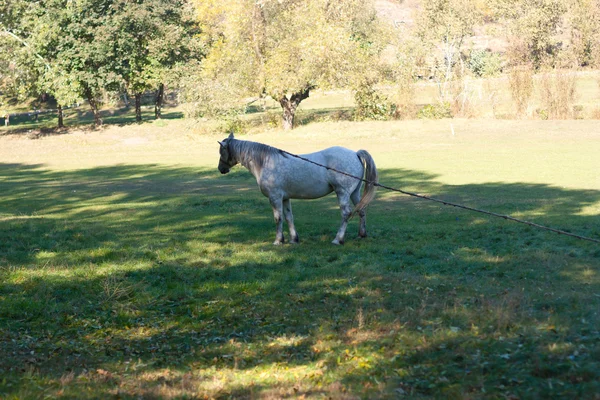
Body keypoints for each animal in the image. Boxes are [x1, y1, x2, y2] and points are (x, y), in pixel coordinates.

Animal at [216, 134, 378, 244]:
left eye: (221, 151)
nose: (221, 169)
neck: (265, 162)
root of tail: (355, 153)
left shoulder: (275, 198)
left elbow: (278, 218)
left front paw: (278, 240)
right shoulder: (285, 198)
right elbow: (289, 217)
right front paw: (294, 239)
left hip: (342, 193)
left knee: (346, 213)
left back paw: (338, 239)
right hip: (354, 193)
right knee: (361, 210)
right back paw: (361, 235)